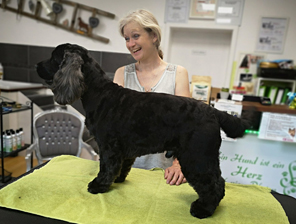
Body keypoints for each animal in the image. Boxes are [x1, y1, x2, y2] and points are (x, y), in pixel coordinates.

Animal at [36, 43, 250, 218]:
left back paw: (203, 209)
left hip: (197, 157)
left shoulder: (108, 146)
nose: (37, 66)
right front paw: (118, 180)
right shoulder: (123, 150)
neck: (100, 93)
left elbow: (106, 168)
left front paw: (98, 185)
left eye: (54, 57)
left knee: (215, 185)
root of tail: (213, 111)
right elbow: (120, 167)